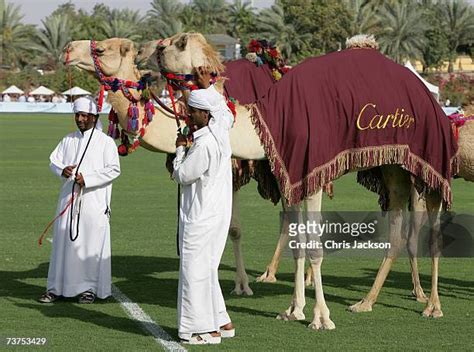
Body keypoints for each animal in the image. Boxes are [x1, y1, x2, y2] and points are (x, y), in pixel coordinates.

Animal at [62, 37, 470, 328]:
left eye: (103, 47)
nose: (68, 49)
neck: (266, 119)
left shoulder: (312, 168)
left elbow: (313, 246)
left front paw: (320, 318)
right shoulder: (292, 169)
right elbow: (296, 242)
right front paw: (293, 309)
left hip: (426, 162)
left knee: (428, 229)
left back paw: (430, 304)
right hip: (392, 166)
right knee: (399, 230)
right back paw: (365, 302)